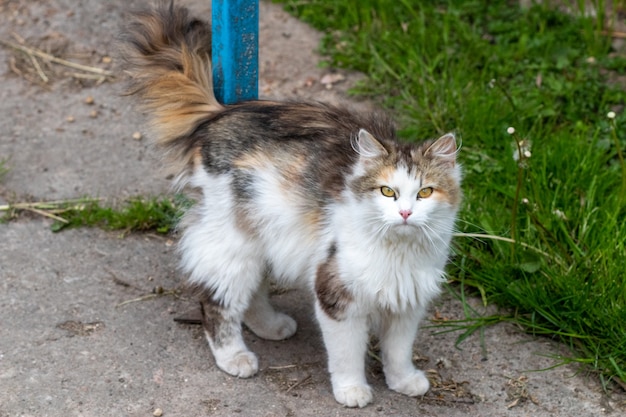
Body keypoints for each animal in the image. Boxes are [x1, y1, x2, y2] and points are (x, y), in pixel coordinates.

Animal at [120, 1, 458, 408]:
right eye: (387, 192)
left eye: (425, 193)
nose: (405, 213)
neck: (399, 252)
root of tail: (219, 113)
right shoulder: (336, 295)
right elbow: (347, 354)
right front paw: (352, 390)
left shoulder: (408, 301)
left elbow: (398, 350)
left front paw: (404, 381)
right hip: (233, 245)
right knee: (218, 303)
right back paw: (235, 357)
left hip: (266, 238)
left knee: (251, 294)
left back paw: (271, 326)